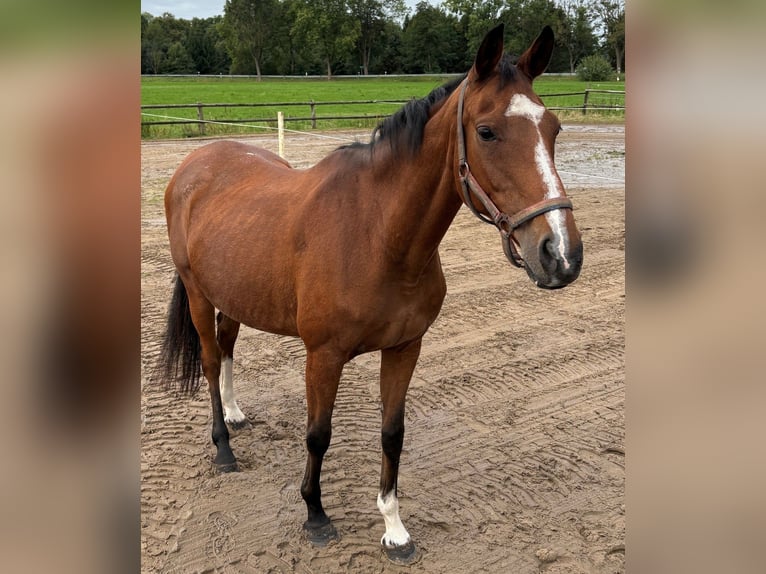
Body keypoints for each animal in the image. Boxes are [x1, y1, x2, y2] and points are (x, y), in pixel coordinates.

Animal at [158, 23, 582, 564]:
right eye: (486, 131)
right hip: (197, 292)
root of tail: (197, 162)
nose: (561, 254)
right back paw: (223, 448)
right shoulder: (323, 355)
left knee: (228, 346)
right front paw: (316, 515)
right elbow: (318, 435)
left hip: (232, 294)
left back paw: (234, 415)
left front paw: (394, 528)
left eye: (553, 129)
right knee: (211, 362)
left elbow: (392, 434)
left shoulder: (404, 348)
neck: (377, 235)